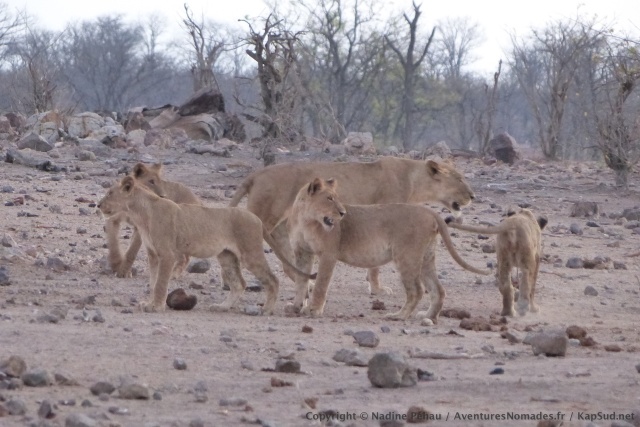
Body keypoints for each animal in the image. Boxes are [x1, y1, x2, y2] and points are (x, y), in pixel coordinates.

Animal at [98, 176, 312, 314]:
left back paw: (266, 309)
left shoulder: (167, 254)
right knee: (239, 284)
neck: (140, 214)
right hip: (226, 256)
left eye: (109, 193)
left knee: (272, 280)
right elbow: (153, 282)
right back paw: (222, 307)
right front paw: (149, 302)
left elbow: (160, 283)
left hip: (250, 253)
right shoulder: (153, 255)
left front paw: (155, 307)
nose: (98, 205)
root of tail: (255, 218)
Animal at [230, 157, 476, 295]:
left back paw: (305, 285)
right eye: (460, 179)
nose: (473, 196)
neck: (415, 181)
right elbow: (375, 267)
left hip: (282, 226)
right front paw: (377, 289)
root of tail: (256, 173)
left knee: (286, 259)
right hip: (263, 217)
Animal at [286, 178, 490, 322]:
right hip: (426, 257)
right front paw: (296, 306)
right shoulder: (302, 253)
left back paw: (399, 316)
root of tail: (430, 211)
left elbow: (320, 284)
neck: (306, 220)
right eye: (329, 198)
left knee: (417, 290)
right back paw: (428, 317)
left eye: (337, 199)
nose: (343, 213)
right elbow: (301, 280)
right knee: (438, 290)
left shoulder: (329, 254)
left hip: (406, 256)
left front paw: (313, 310)